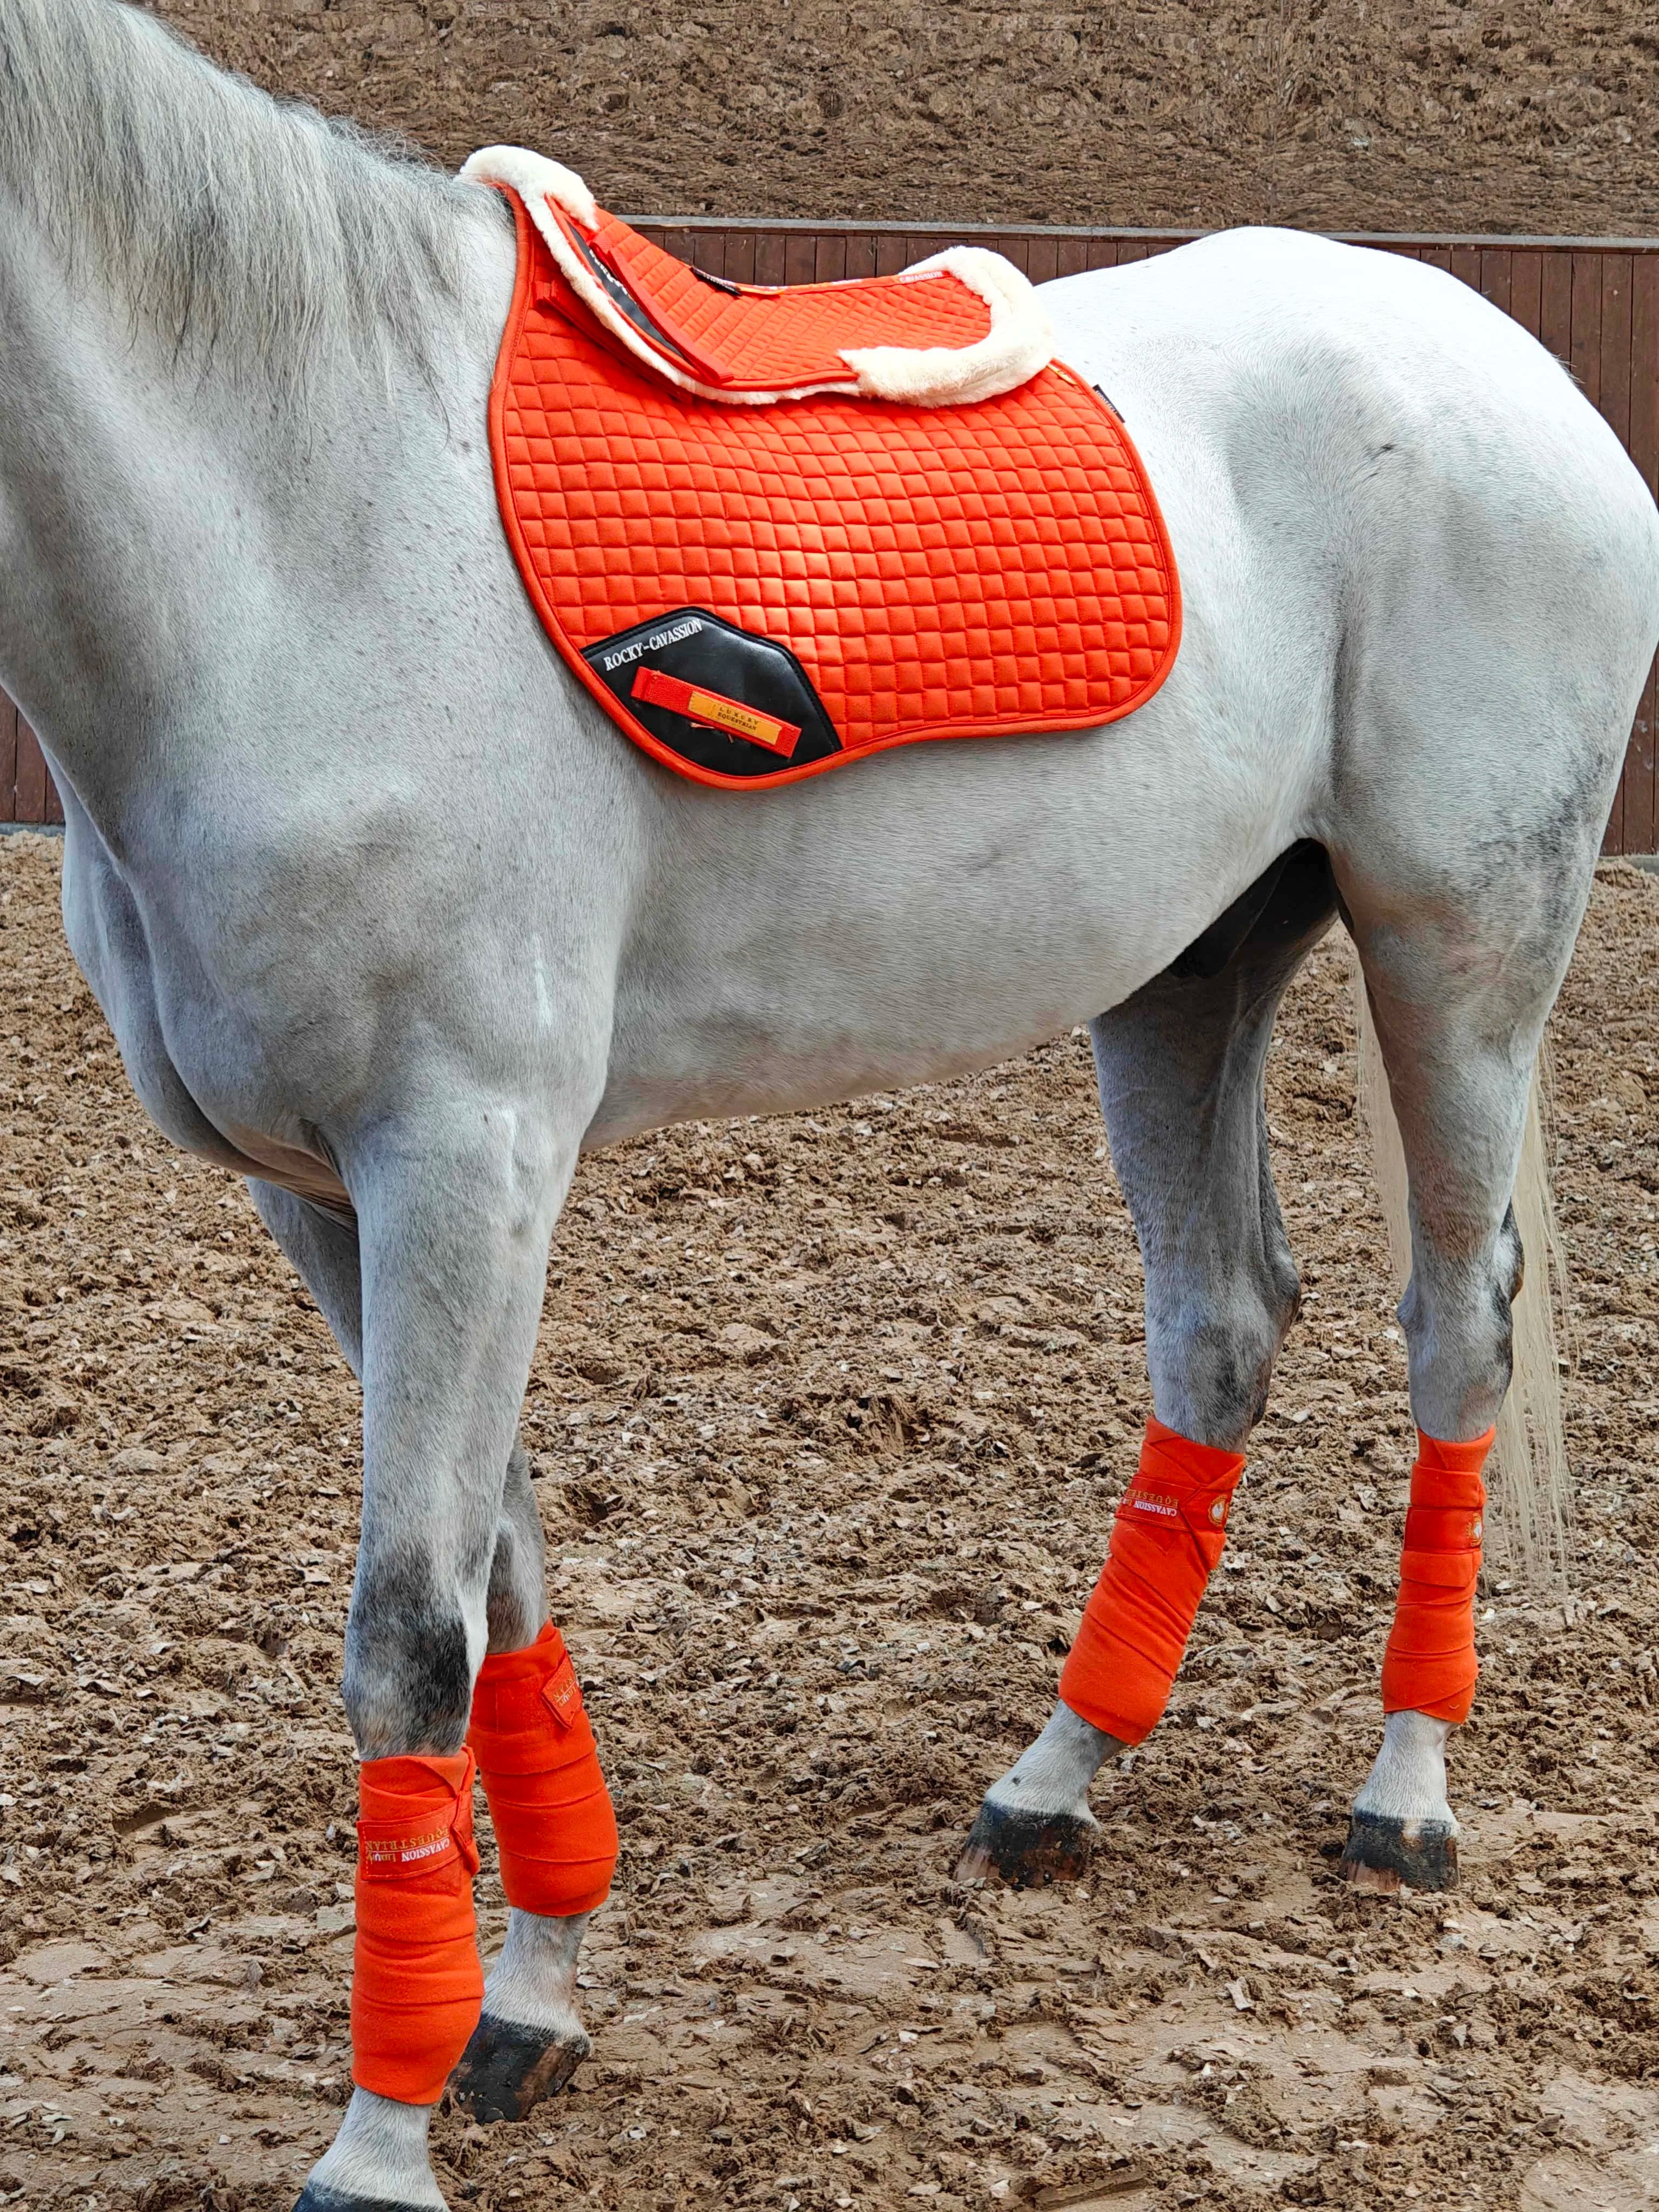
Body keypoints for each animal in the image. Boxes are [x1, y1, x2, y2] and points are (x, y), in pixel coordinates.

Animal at [2, 2, 1656, 2205]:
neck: (301, 532)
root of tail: (1510, 358)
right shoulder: (332, 1194)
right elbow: (500, 1569)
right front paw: (530, 2003)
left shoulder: (465, 1161)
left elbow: (412, 1630)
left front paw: (378, 2137)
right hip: (1185, 973)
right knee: (1219, 1327)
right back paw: (1059, 1776)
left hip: (1459, 950)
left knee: (1455, 1329)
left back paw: (1403, 1795)